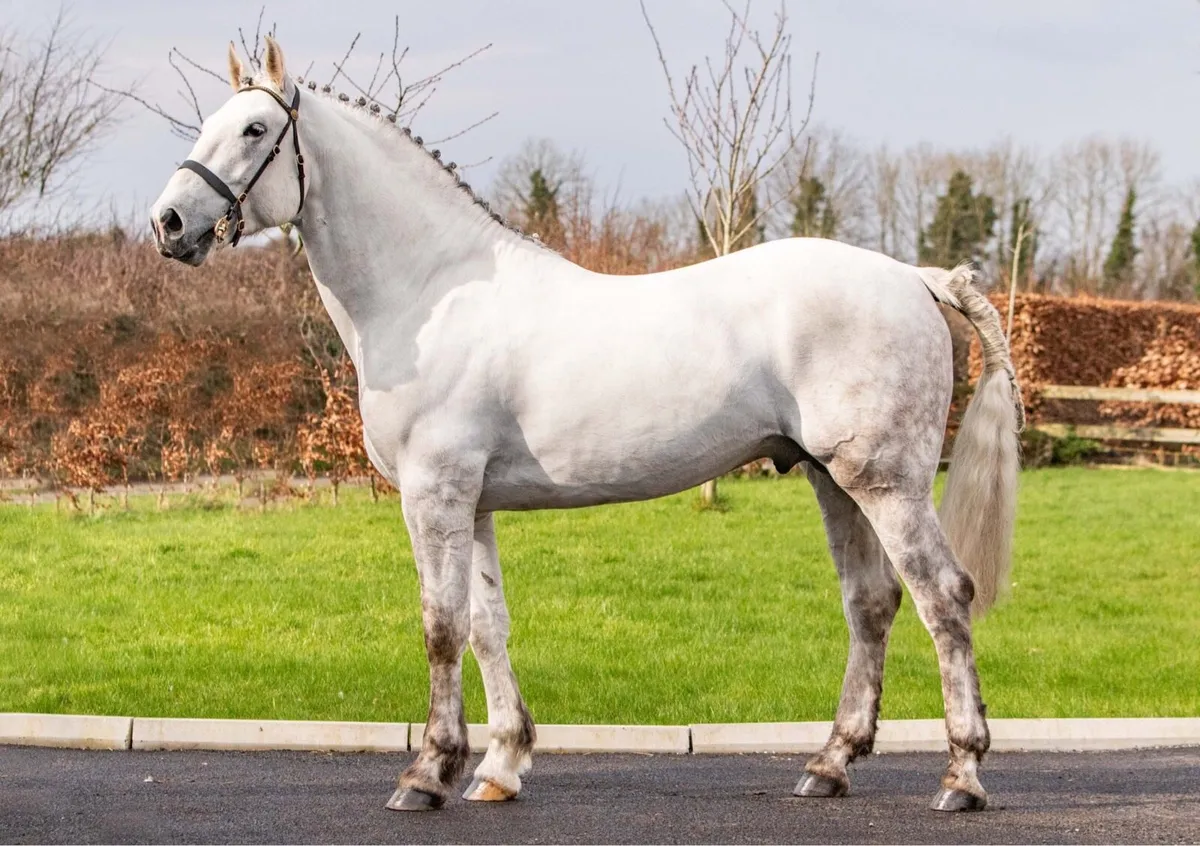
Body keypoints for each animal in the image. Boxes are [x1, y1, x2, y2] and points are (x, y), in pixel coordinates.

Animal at [150, 36, 1023, 814]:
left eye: (254, 129)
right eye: (207, 122)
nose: (169, 223)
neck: (432, 291)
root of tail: (915, 277)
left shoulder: (434, 496)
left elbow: (440, 627)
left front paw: (427, 774)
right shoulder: (473, 504)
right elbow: (487, 626)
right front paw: (500, 767)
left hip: (888, 484)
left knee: (944, 597)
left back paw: (962, 776)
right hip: (834, 480)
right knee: (871, 604)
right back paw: (829, 764)